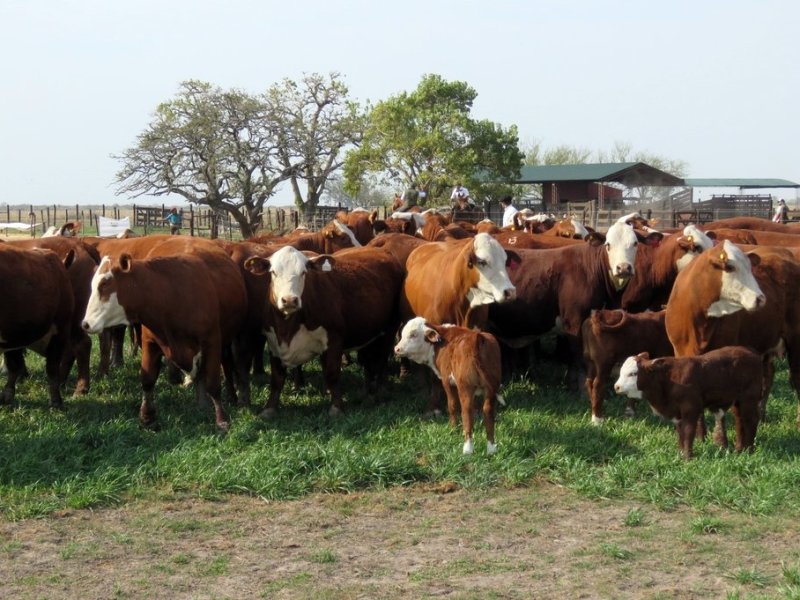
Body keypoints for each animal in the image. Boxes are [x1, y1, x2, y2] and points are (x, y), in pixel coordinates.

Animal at [81, 249, 248, 430]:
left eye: (105, 283)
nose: (86, 324)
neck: (169, 296)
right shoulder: (150, 343)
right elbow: (147, 380)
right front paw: (147, 418)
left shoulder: (211, 343)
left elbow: (213, 383)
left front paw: (222, 420)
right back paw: (202, 403)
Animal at [244, 245, 405, 416]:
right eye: (273, 272)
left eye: (304, 272)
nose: (289, 300)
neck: (287, 328)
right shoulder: (274, 342)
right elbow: (277, 379)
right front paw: (269, 408)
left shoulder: (334, 338)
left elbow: (332, 374)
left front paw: (336, 407)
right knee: (368, 360)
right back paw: (367, 390)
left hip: (390, 328)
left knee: (382, 359)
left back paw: (379, 388)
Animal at [394, 317, 503, 455]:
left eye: (413, 335)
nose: (396, 348)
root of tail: (477, 338)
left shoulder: (447, 381)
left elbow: (452, 405)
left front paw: (453, 428)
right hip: (490, 388)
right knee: (488, 412)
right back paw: (491, 448)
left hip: (465, 387)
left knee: (467, 412)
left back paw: (467, 448)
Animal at [614, 346, 763, 459]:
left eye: (633, 373)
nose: (616, 386)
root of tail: (752, 354)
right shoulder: (676, 414)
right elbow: (680, 433)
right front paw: (680, 454)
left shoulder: (691, 408)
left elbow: (689, 431)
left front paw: (687, 457)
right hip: (738, 401)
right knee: (739, 420)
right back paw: (739, 449)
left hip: (749, 398)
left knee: (751, 420)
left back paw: (749, 450)